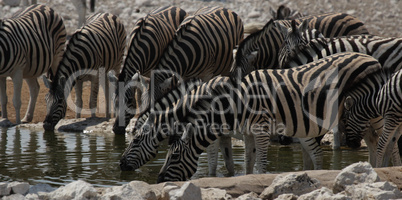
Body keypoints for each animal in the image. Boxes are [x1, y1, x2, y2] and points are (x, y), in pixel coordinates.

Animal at [107, 6, 188, 135]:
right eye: (115, 102)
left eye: (130, 101)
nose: (116, 129)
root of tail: (174, 6)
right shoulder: (141, 73)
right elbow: (141, 93)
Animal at [157, 52, 384, 183]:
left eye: (174, 157)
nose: (158, 180)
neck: (239, 103)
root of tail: (371, 57)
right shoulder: (248, 133)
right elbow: (248, 162)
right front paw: (246, 179)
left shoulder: (261, 129)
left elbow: (261, 162)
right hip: (358, 117)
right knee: (373, 141)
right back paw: (374, 169)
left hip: (372, 110)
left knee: (383, 139)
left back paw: (382, 168)